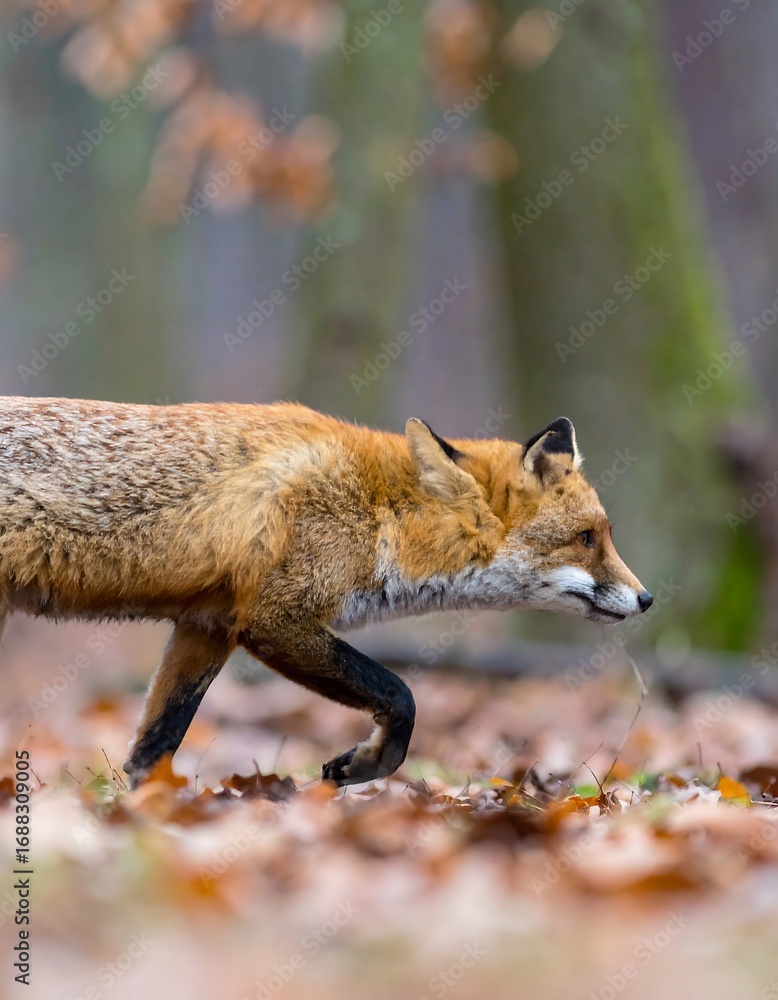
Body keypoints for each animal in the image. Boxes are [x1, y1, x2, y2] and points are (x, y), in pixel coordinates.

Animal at [0, 397, 652, 787]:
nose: (647, 599)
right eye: (586, 539)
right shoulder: (274, 619)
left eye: (605, 535)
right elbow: (401, 694)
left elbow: (155, 745)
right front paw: (365, 764)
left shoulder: (210, 624)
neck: (379, 512)